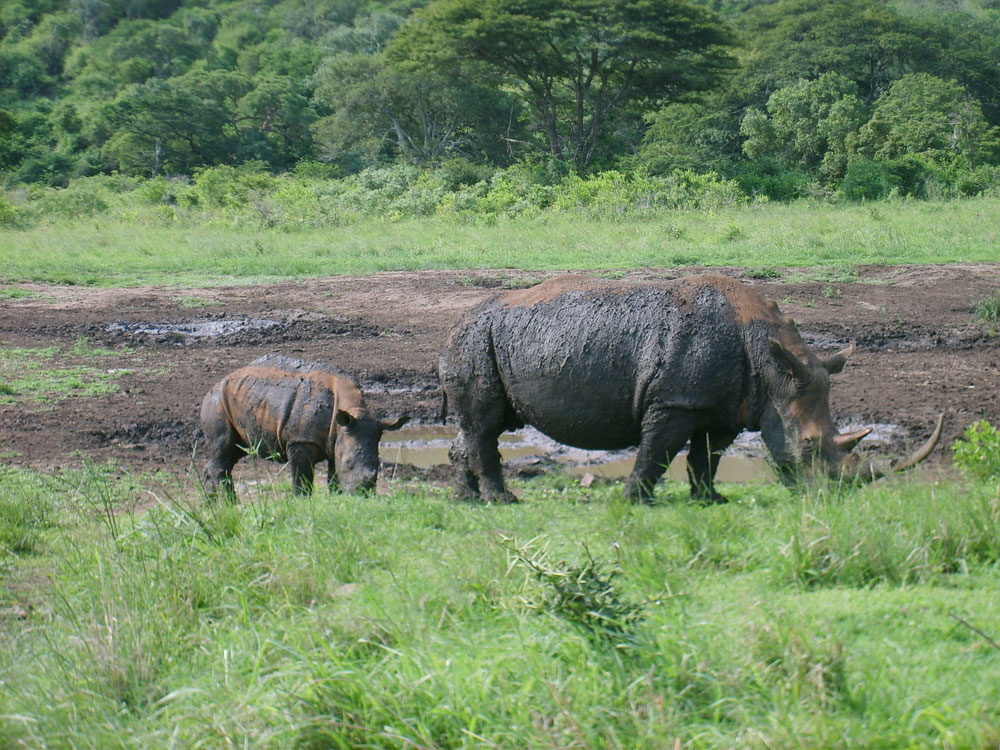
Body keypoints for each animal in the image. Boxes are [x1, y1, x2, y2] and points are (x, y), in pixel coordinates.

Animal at [201, 354, 409, 499]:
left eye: (377, 465)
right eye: (349, 463)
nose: (362, 496)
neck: (353, 409)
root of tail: (216, 384)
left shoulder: (337, 437)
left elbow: (333, 478)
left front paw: (338, 500)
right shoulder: (300, 440)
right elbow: (302, 480)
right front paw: (302, 502)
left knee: (233, 452)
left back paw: (212, 504)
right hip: (218, 401)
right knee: (223, 447)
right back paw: (229, 504)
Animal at [439, 274, 941, 503]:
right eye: (811, 447)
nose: (832, 498)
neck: (771, 363)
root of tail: (454, 322)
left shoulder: (726, 405)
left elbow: (708, 456)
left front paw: (710, 500)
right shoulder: (674, 400)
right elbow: (657, 451)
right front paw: (636, 501)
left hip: (482, 339)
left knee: (480, 426)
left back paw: (468, 501)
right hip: (472, 339)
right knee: (485, 426)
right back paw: (503, 501)